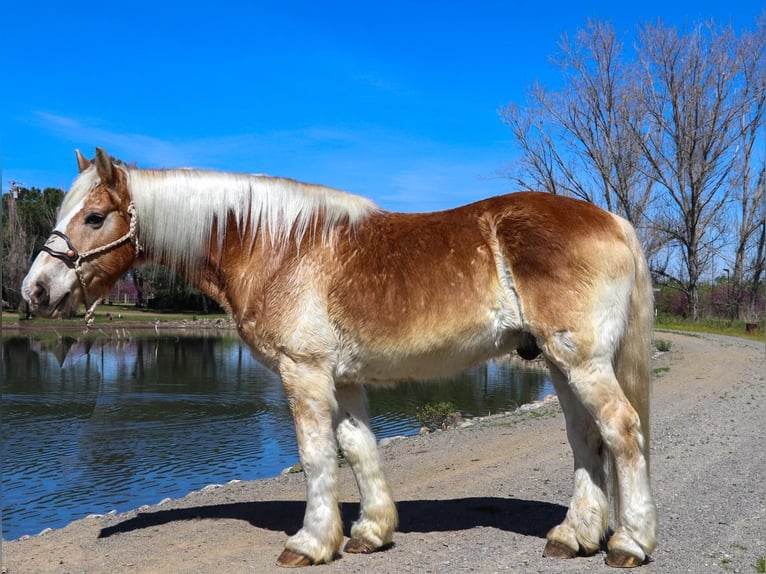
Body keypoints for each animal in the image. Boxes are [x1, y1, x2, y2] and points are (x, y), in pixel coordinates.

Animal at [22, 147, 660, 568]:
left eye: (95, 217)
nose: (35, 291)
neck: (274, 246)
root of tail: (612, 219)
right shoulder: (344, 379)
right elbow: (359, 449)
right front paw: (370, 533)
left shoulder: (303, 372)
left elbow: (316, 457)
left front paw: (310, 542)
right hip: (558, 364)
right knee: (585, 439)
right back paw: (574, 536)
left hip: (580, 363)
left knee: (621, 431)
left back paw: (629, 543)